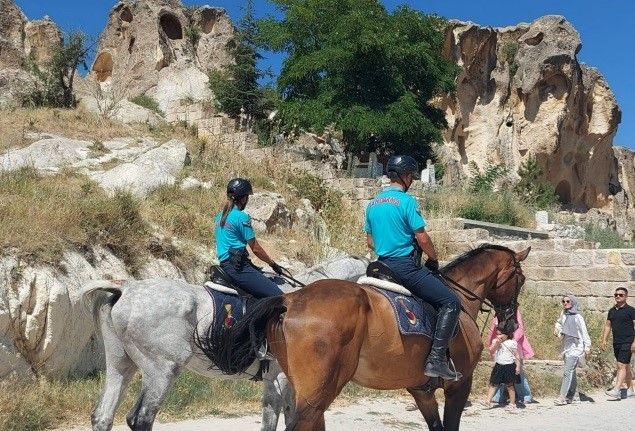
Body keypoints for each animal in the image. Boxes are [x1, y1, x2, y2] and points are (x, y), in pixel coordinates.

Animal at [80, 256, 368, 431]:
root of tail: (125, 288)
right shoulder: (283, 380)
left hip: (121, 365)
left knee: (103, 416)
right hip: (162, 370)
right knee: (140, 418)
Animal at [198, 245, 532, 430]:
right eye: (521, 278)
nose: (509, 322)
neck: (459, 301)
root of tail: (288, 300)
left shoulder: (421, 391)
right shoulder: (458, 386)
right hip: (320, 391)